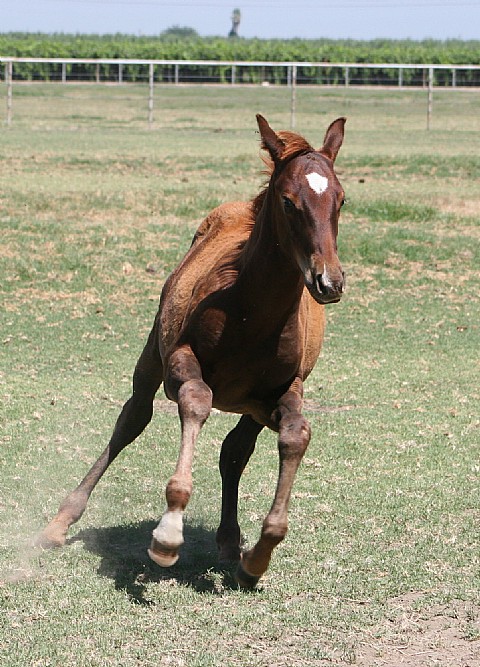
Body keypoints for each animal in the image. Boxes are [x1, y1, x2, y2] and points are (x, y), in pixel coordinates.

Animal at [36, 114, 346, 588]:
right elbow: (195, 402)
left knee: (235, 452)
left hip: (252, 408)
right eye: (289, 201)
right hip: (151, 359)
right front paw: (167, 534)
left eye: (342, 200)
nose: (328, 281)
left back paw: (231, 543)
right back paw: (60, 523)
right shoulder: (180, 364)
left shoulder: (284, 390)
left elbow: (296, 435)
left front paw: (258, 556)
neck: (251, 313)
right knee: (131, 421)